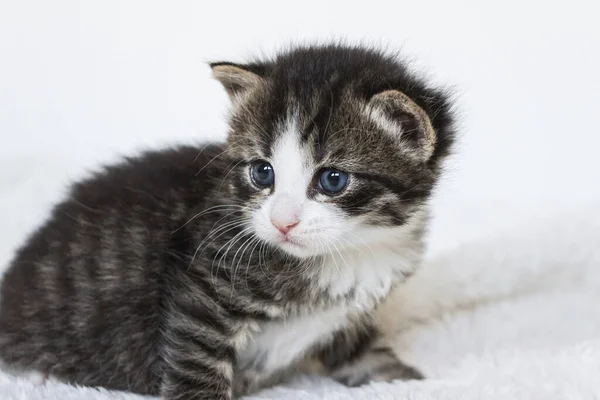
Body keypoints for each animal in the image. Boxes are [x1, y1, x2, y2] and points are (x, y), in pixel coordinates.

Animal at [0, 44, 454, 400]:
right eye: (262, 172)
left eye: (332, 180)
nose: (282, 222)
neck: (351, 251)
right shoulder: (202, 288)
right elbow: (196, 361)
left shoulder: (348, 315)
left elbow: (364, 352)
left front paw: (407, 381)